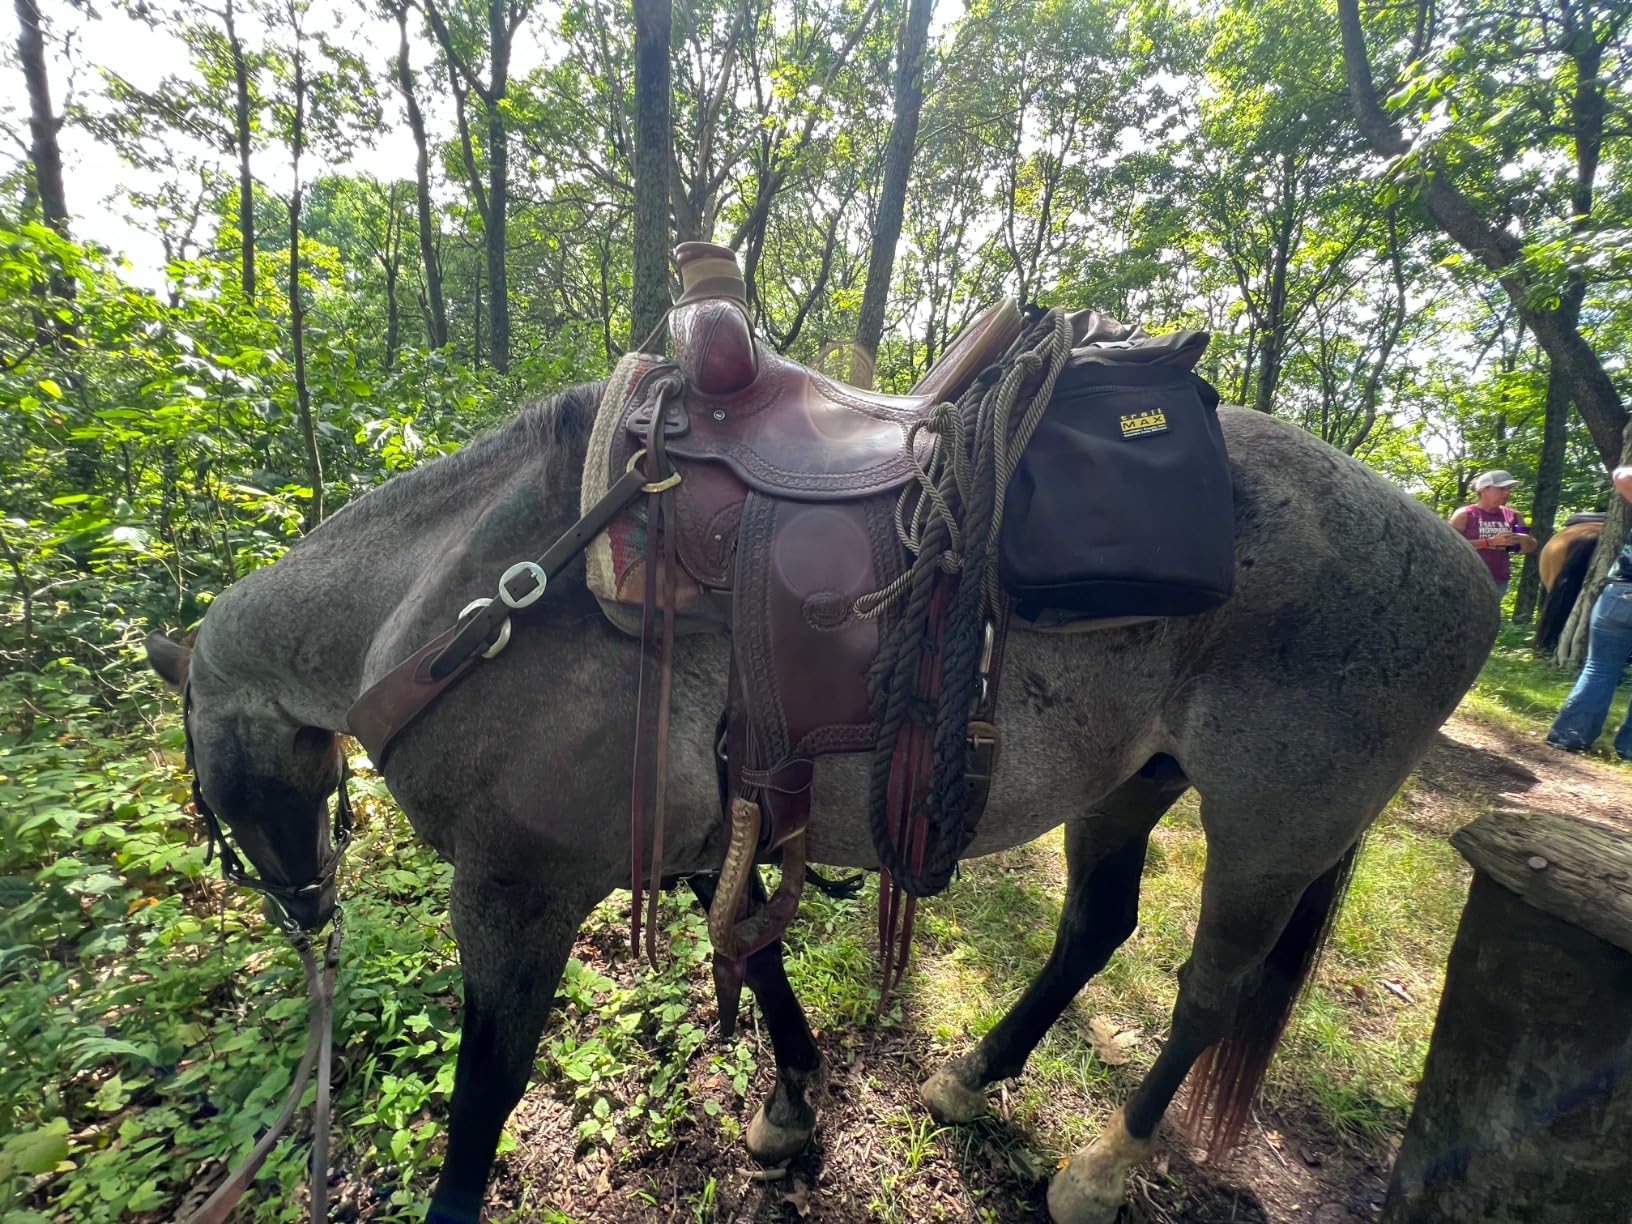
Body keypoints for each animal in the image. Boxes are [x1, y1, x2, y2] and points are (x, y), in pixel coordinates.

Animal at [144, 383, 1498, 1223]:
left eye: (206, 802)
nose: (305, 909)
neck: (469, 601)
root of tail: (1461, 563)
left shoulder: (517, 892)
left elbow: (484, 1095)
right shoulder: (717, 823)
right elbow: (758, 950)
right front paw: (793, 1104)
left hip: (1275, 825)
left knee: (1209, 993)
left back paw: (1103, 1169)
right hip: (1131, 786)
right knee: (1094, 929)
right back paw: (971, 1077)